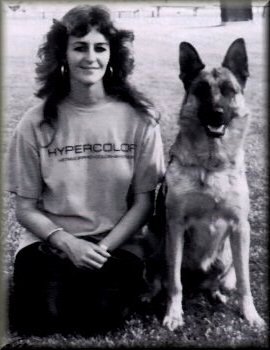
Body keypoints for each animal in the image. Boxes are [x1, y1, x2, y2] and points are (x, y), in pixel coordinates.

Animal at [147, 37, 264, 330]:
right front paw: (174, 314)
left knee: (220, 281)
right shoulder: (175, 225)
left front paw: (250, 313)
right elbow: (174, 282)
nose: (216, 114)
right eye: (200, 90)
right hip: (156, 242)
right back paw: (150, 292)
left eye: (228, 90)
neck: (212, 165)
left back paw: (216, 294)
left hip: (226, 256)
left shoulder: (240, 227)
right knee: (161, 276)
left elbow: (245, 281)